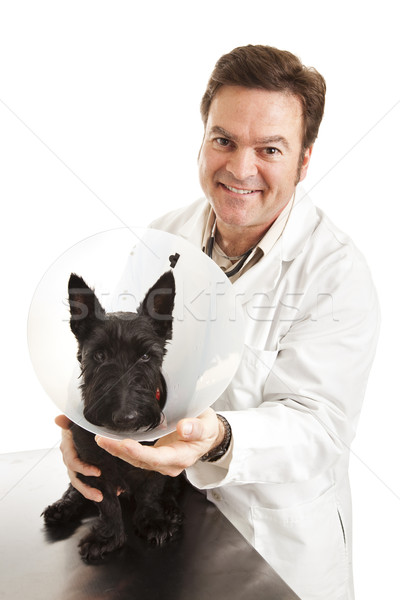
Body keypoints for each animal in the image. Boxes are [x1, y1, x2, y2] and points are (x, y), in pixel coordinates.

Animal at [41, 270, 183, 564]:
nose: (125, 417)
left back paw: (170, 509)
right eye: (99, 355)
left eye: (145, 356)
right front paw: (107, 538)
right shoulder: (94, 467)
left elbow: (151, 492)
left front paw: (153, 522)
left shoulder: (156, 464)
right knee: (75, 489)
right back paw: (63, 507)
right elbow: (105, 503)